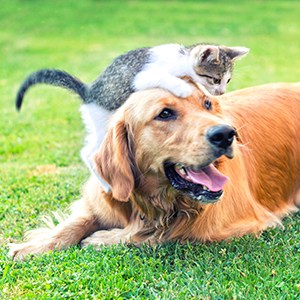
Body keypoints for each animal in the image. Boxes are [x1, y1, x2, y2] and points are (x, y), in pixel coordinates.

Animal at [8, 82, 300, 260]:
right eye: (165, 114)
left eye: (207, 104)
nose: (227, 134)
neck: (156, 201)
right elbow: (74, 223)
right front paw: (32, 245)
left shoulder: (236, 224)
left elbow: (166, 235)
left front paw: (105, 238)